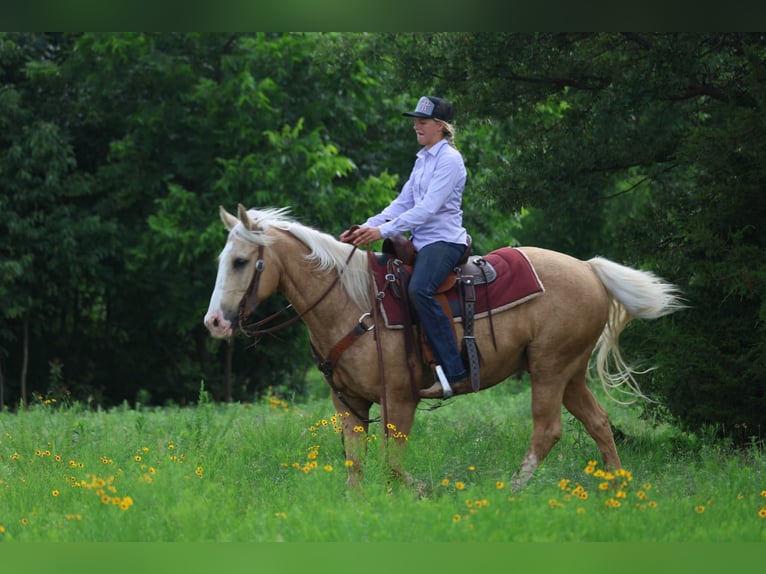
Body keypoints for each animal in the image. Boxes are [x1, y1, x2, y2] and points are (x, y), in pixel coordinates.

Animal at [203, 204, 684, 490]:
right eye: (222, 260)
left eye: (242, 261)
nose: (215, 322)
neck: (354, 304)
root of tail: (588, 268)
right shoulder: (349, 404)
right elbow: (356, 466)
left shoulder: (399, 399)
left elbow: (392, 463)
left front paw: (420, 492)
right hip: (568, 372)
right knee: (599, 422)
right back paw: (616, 487)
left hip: (550, 368)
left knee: (547, 431)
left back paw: (511, 492)